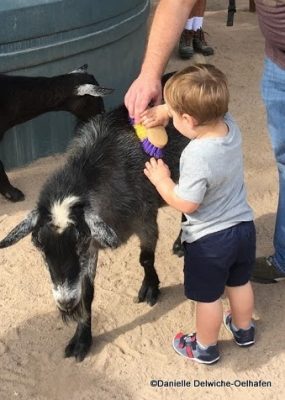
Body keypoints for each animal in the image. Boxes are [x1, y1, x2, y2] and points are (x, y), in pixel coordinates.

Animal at [0, 102, 189, 360]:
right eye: (38, 245)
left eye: (78, 242)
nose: (65, 303)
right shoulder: (92, 247)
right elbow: (87, 291)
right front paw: (81, 340)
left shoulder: (145, 220)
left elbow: (146, 259)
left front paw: (151, 288)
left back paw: (181, 243)